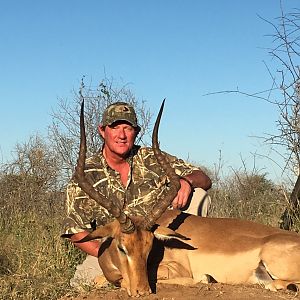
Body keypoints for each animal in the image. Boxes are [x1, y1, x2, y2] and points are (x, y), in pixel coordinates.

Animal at [74, 100, 300, 296]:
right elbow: (99, 280)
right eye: (122, 247)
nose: (142, 291)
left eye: (149, 247)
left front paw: (205, 278)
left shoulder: (175, 269)